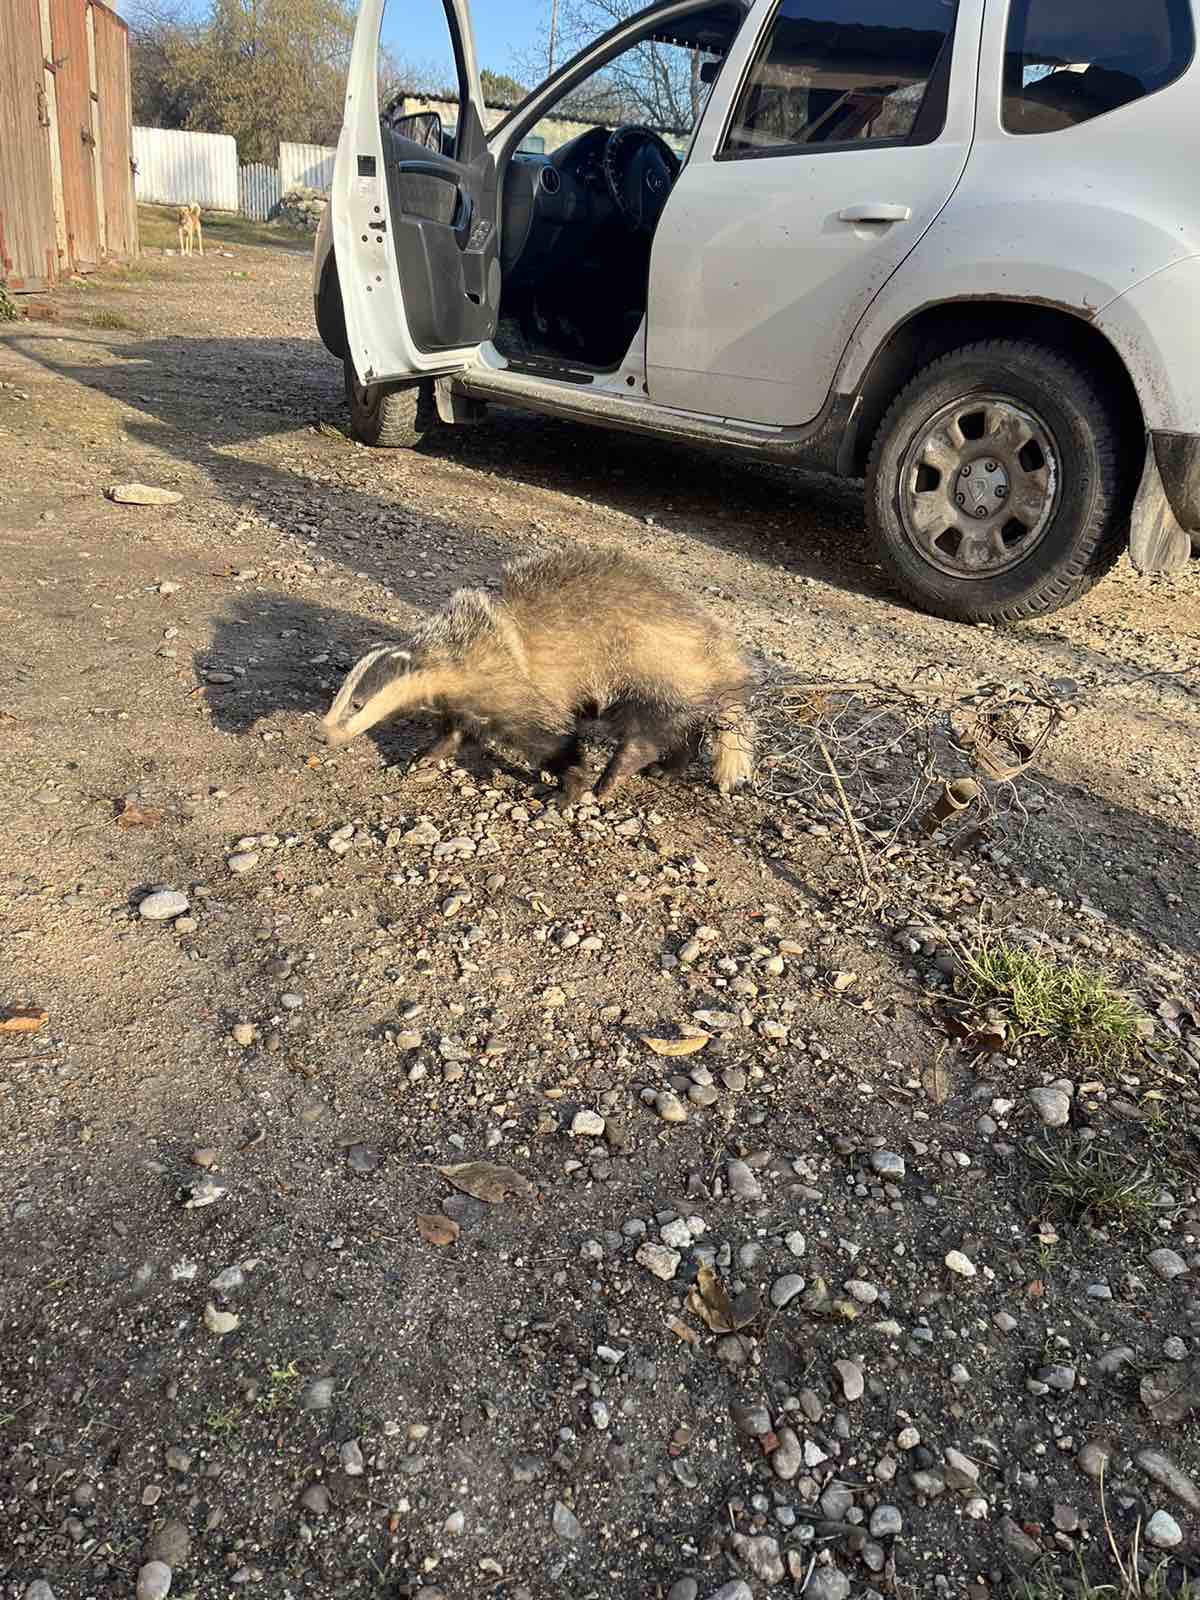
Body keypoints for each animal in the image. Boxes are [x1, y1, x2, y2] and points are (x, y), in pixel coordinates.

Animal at [320, 547, 752, 800]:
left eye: (357, 704)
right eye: (339, 699)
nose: (323, 736)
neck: (461, 647)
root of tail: (726, 658)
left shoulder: (515, 689)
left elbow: (552, 738)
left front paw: (569, 787)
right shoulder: (468, 701)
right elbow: (455, 731)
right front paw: (421, 758)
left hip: (652, 676)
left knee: (643, 737)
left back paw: (610, 781)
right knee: (683, 734)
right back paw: (666, 770)